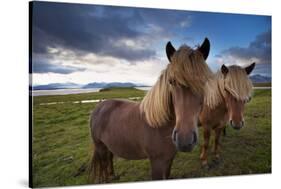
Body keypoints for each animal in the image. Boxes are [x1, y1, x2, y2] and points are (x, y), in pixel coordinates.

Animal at [88, 38, 211, 182]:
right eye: (171, 81)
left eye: (204, 82)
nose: (184, 140)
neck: (160, 125)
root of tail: (98, 107)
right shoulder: (157, 163)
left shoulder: (168, 160)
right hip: (100, 147)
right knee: (103, 164)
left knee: (109, 158)